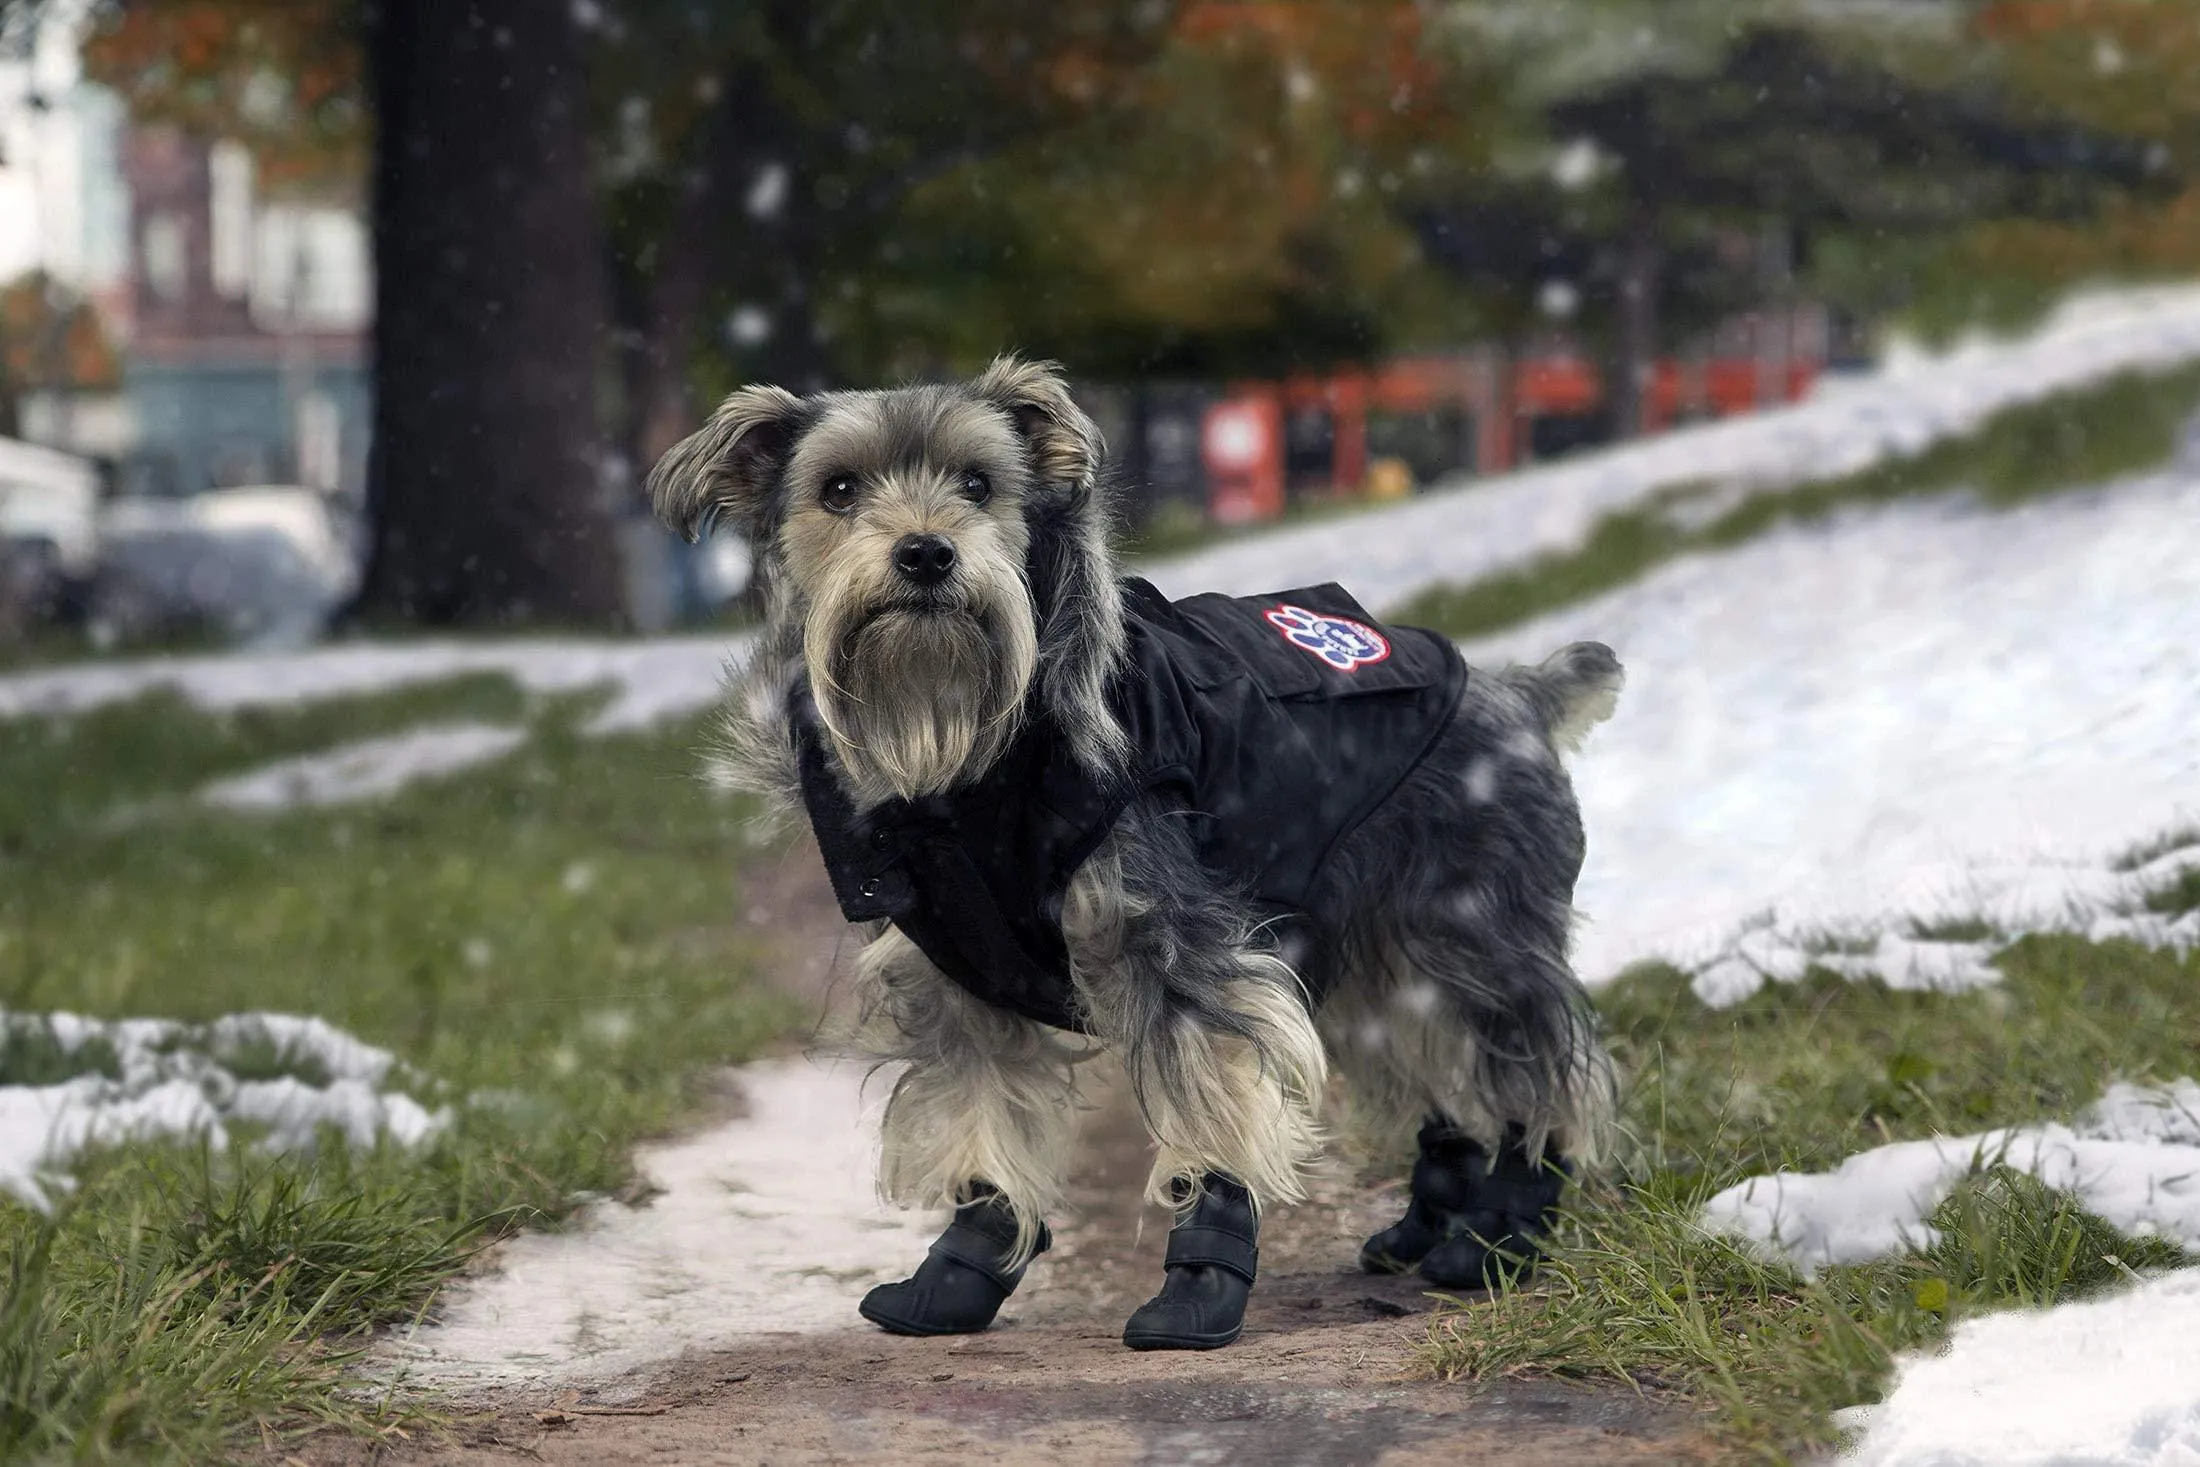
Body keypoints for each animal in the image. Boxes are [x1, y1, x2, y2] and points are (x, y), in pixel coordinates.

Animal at [642, 356, 1628, 1354]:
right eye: (838, 491)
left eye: (979, 485)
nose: (926, 554)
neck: (963, 749)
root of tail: (1522, 695)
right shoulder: (956, 974)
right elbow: (979, 1115)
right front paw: (960, 1272)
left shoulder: (1176, 945)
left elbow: (1217, 1098)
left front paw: (1199, 1287)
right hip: (1375, 963)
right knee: (1440, 1074)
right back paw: (1424, 1229)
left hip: (1478, 935)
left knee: (1540, 1067)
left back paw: (1502, 1234)